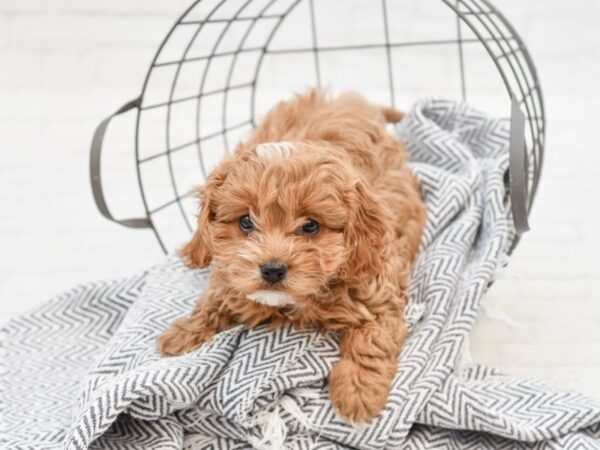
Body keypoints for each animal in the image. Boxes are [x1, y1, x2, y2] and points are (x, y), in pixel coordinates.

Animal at [157, 89, 424, 424]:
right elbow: (213, 300)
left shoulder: (378, 292)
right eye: (246, 222)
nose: (272, 269)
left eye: (310, 226)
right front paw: (182, 333)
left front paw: (357, 392)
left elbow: (372, 341)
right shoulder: (229, 277)